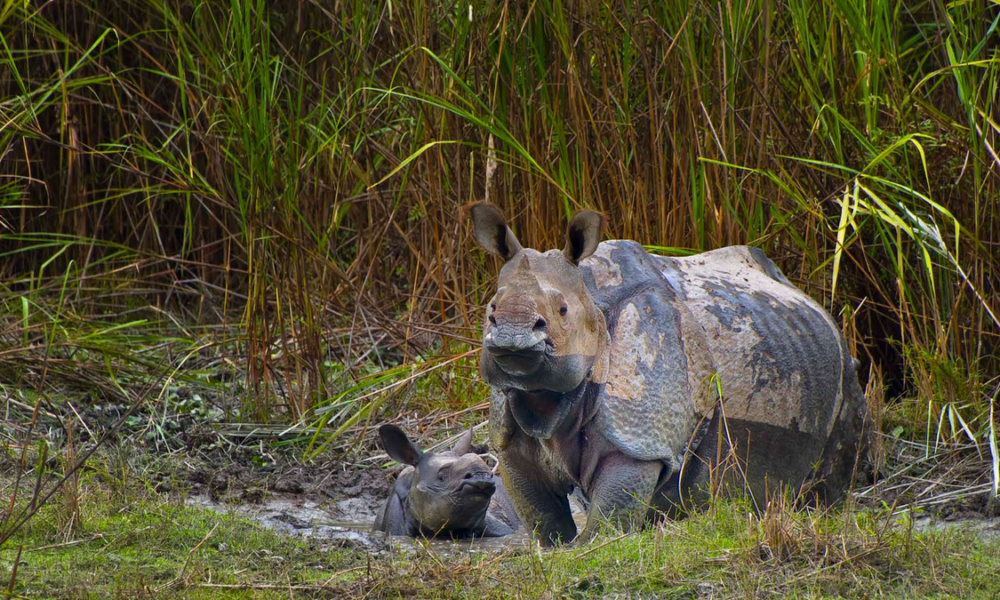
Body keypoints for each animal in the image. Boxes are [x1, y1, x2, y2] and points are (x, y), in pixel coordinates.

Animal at [466, 202, 869, 545]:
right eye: (491, 308)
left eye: (562, 310)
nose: (512, 334)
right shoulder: (512, 434)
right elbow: (542, 517)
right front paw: (558, 546)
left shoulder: (639, 438)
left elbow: (610, 514)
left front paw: (595, 545)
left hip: (838, 363)